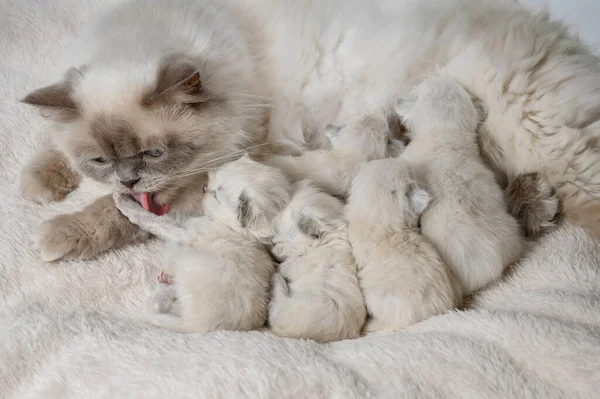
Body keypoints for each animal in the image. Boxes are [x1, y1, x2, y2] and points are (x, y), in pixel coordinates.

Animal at [18, 0, 600, 260]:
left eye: (155, 154)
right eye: (100, 160)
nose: (129, 180)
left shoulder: (210, 173)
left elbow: (114, 216)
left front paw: (57, 234)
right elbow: (54, 151)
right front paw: (39, 183)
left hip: (536, 135)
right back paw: (535, 205)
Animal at [113, 156, 292, 334]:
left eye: (216, 195)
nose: (205, 187)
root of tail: (198, 326)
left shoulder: (186, 232)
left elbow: (158, 221)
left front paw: (125, 203)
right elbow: (172, 217)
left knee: (159, 304)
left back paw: (163, 285)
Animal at [268, 181, 366, 344]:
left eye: (281, 241)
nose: (271, 246)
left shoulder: (299, 264)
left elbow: (287, 266)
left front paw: (276, 262)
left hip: (285, 306)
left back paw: (275, 277)